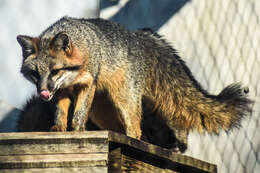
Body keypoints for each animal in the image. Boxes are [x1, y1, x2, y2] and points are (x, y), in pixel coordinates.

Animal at [16, 16, 252, 144]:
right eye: (35, 74)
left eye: (55, 71)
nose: (43, 93)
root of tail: (136, 36)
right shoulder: (62, 91)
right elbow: (61, 112)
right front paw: (58, 128)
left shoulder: (87, 83)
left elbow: (79, 114)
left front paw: (76, 130)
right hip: (102, 111)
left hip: (124, 101)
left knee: (135, 129)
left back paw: (134, 140)